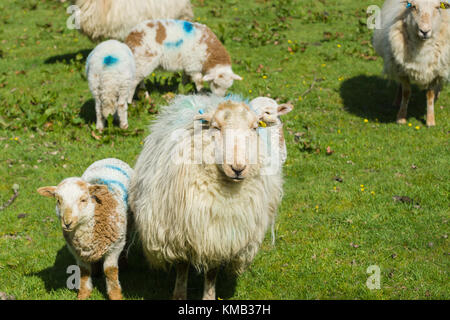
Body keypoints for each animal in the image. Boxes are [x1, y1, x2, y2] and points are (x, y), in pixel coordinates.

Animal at [37, 158, 133, 300]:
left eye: (83, 199)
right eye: (58, 200)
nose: (67, 223)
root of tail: (110, 158)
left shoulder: (115, 246)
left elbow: (110, 271)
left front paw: (115, 295)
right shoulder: (76, 251)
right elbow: (84, 271)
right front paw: (84, 293)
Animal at [126, 94, 282, 300]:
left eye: (254, 127)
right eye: (216, 127)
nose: (238, 168)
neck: (226, 193)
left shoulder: (218, 234)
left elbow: (212, 272)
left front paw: (209, 296)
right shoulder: (179, 232)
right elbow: (182, 267)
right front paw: (179, 295)